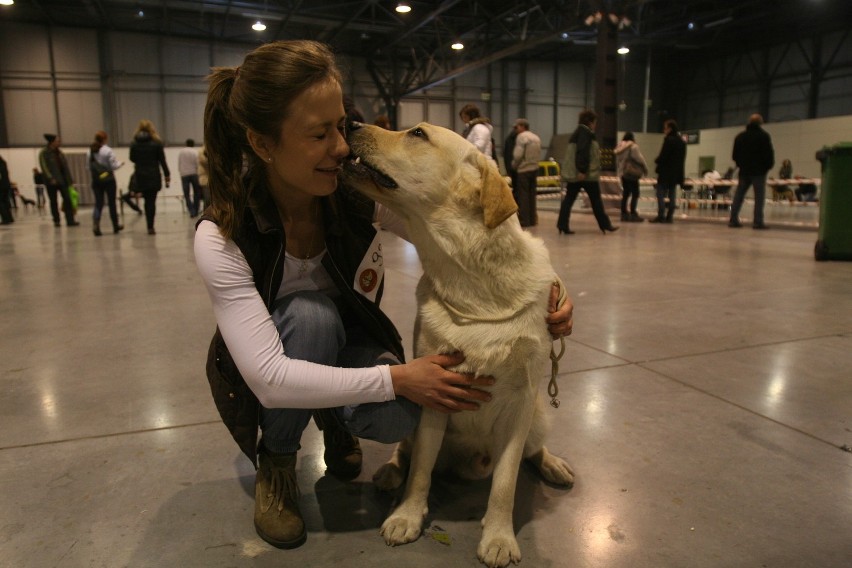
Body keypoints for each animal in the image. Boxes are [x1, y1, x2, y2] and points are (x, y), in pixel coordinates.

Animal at [340, 122, 572, 564]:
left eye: (416, 133)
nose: (350, 123)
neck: (472, 284)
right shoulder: (434, 392)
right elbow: (421, 472)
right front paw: (407, 516)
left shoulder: (520, 403)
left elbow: (505, 484)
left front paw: (498, 538)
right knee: (407, 453)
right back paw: (390, 471)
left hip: (537, 415)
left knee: (533, 450)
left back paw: (555, 465)